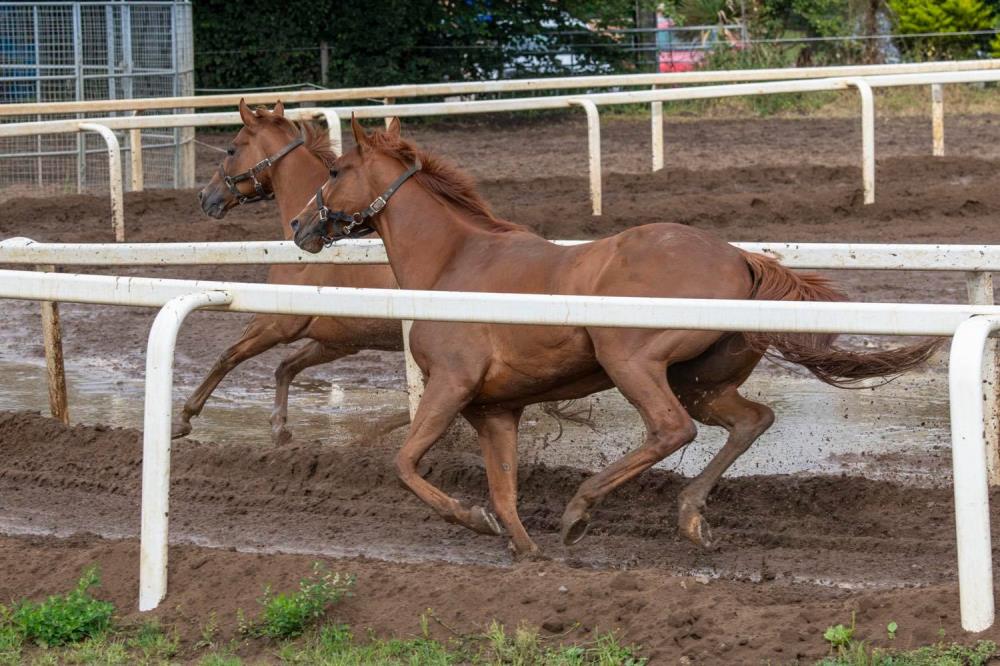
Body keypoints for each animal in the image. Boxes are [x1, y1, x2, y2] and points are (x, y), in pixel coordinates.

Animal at [178, 100, 402, 445]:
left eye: (231, 149)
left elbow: (228, 355)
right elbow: (286, 366)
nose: (205, 197)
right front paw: (280, 426)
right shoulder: (340, 340)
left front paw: (184, 416)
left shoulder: (277, 322)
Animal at [289, 116, 940, 557]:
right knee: (751, 421)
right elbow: (503, 489)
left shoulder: (451, 385)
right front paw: (522, 546)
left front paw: (475, 520)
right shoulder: (495, 409)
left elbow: (405, 463)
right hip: (702, 379)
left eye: (335, 171)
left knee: (672, 429)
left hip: (630, 358)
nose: (299, 223)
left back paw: (581, 507)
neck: (453, 265)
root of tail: (740, 258)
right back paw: (688, 514)